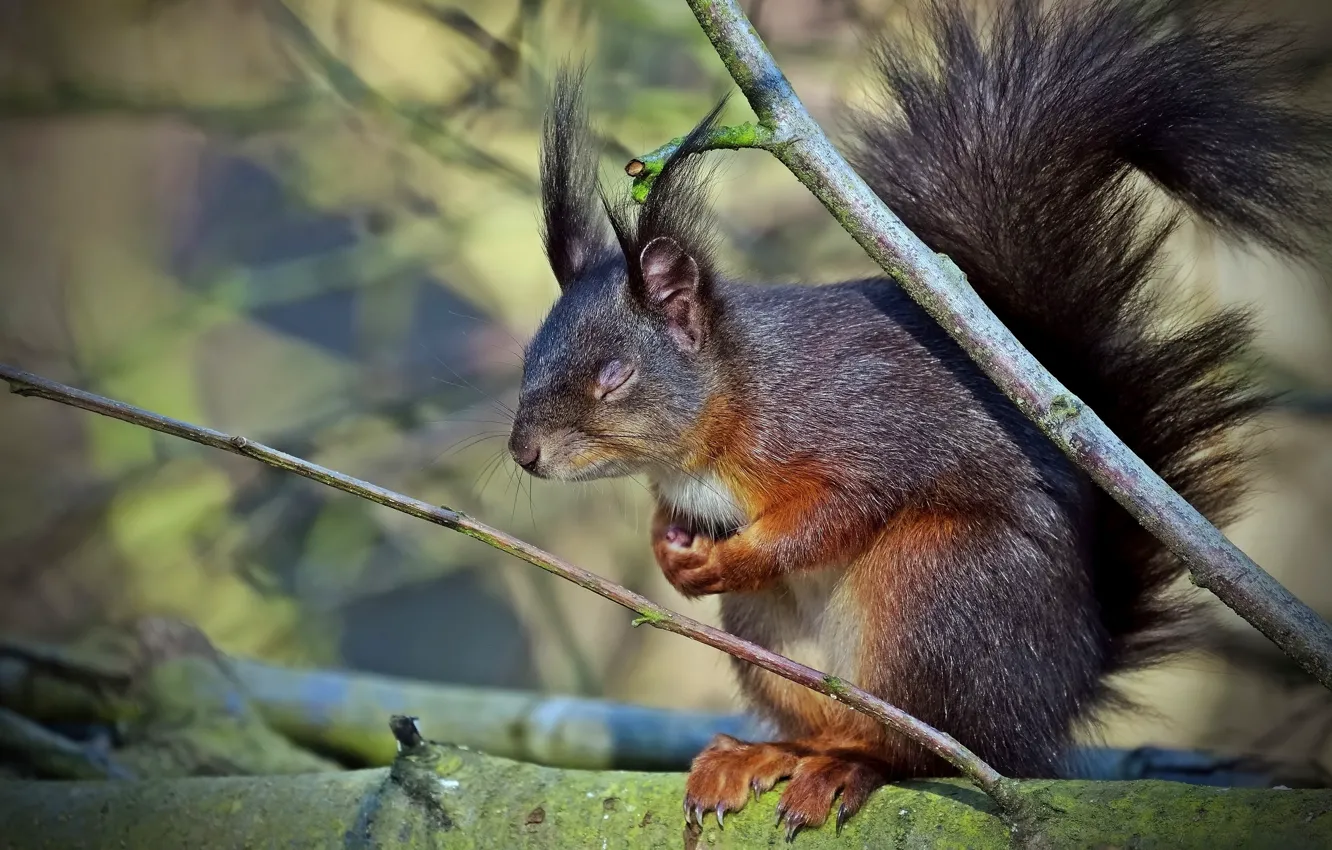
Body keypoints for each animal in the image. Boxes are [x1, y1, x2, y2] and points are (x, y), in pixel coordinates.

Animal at [503, 0, 1326, 842]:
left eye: (614, 375)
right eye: (531, 355)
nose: (524, 452)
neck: (728, 407)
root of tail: (1061, 696)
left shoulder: (856, 426)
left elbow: (839, 509)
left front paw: (728, 557)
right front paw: (669, 553)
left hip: (936, 594)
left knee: (923, 751)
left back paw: (855, 765)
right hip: (775, 637)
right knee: (832, 724)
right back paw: (771, 753)